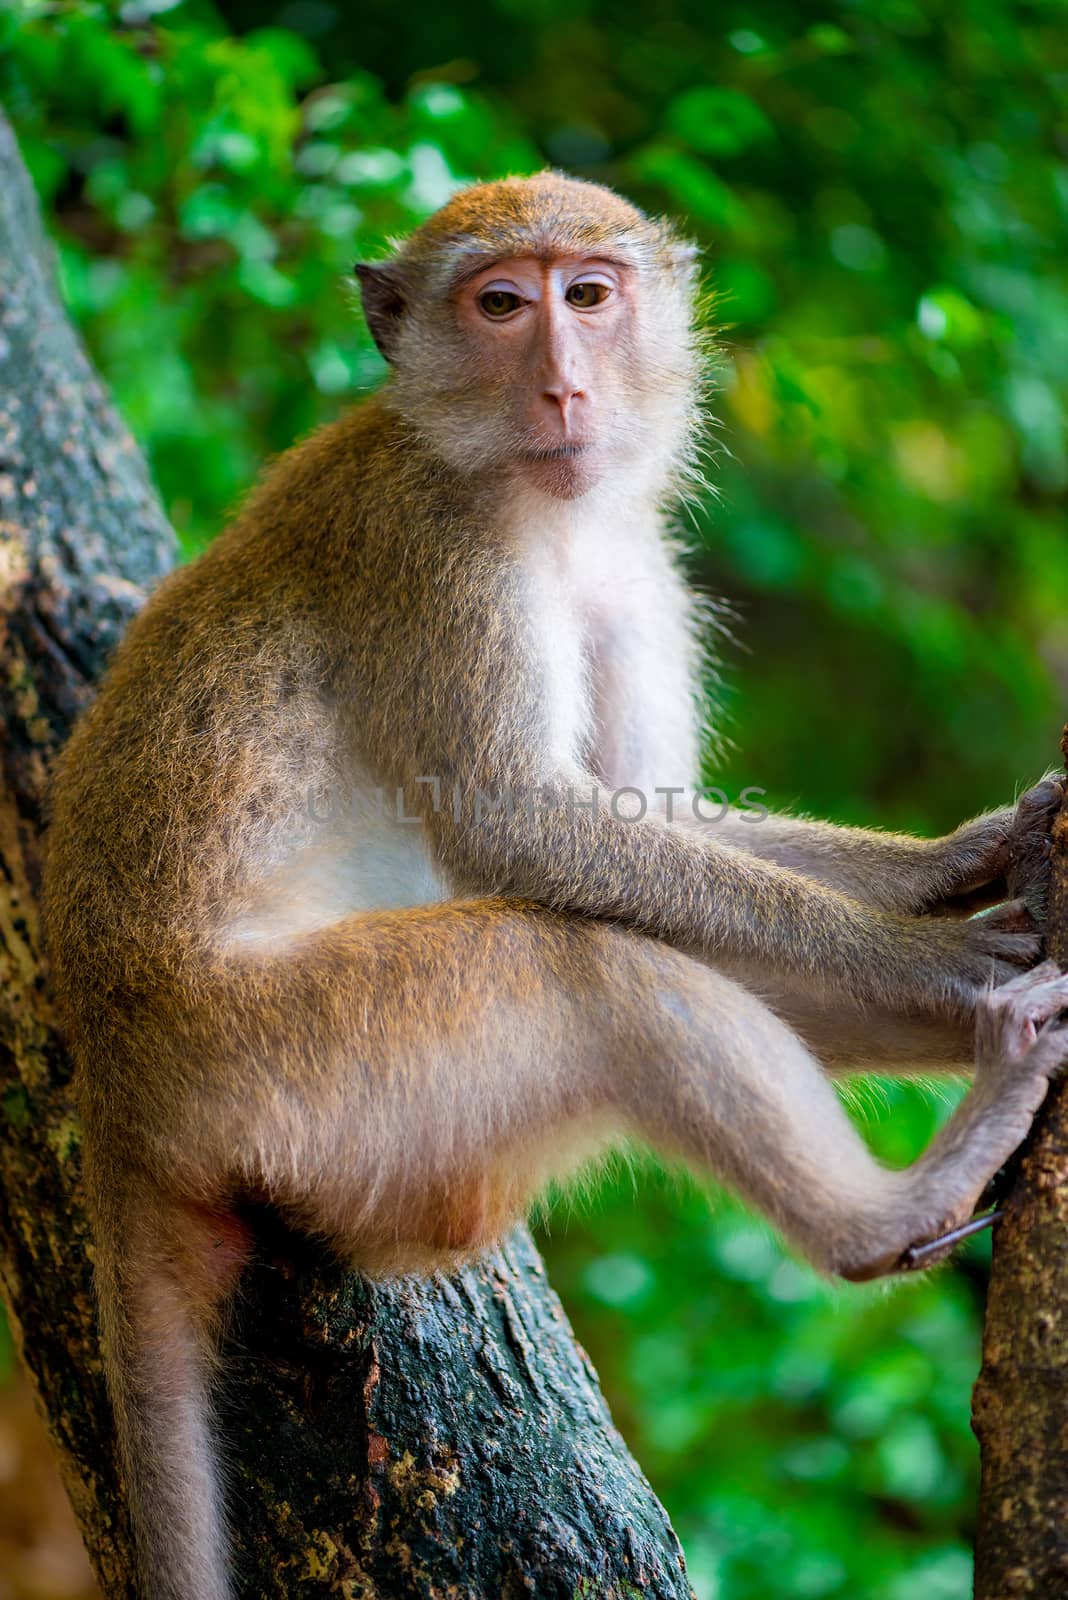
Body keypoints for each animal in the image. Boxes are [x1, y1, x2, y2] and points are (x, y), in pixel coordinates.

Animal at [41, 175, 1068, 1600]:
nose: (566, 384)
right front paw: (949, 959)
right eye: (500, 304)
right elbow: (524, 829)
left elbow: (654, 821)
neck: (529, 496)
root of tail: (115, 1079)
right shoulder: (434, 550)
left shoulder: (636, 572)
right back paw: (898, 1203)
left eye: (588, 294)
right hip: (286, 1066)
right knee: (582, 965)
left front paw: (968, 857)